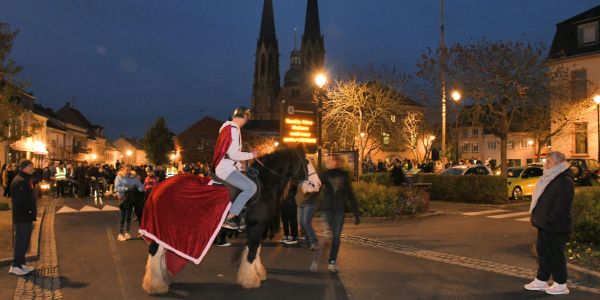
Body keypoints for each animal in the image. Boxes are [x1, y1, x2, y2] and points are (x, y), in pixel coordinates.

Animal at [142, 148, 318, 292]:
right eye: (306, 162)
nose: (317, 184)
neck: (265, 185)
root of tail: (158, 188)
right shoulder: (256, 227)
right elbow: (252, 252)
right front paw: (250, 280)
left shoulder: (259, 227)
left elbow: (256, 250)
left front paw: (258, 273)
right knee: (155, 252)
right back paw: (156, 285)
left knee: (161, 252)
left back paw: (164, 279)